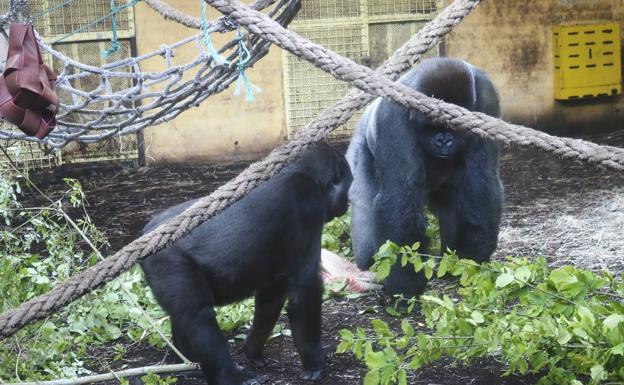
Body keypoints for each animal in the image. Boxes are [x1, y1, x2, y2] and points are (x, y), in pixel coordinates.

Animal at [141, 142, 354, 384]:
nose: (347, 203)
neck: (303, 173)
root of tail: (146, 235)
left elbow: (270, 301)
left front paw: (253, 350)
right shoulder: (308, 207)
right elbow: (304, 292)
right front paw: (314, 362)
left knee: (184, 317)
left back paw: (188, 361)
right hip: (166, 261)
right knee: (197, 317)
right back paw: (230, 376)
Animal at [348, 57, 504, 296]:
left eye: (455, 126)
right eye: (432, 125)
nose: (444, 141)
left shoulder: (487, 99)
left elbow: (482, 178)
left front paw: (471, 258)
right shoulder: (394, 115)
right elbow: (400, 194)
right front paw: (405, 284)